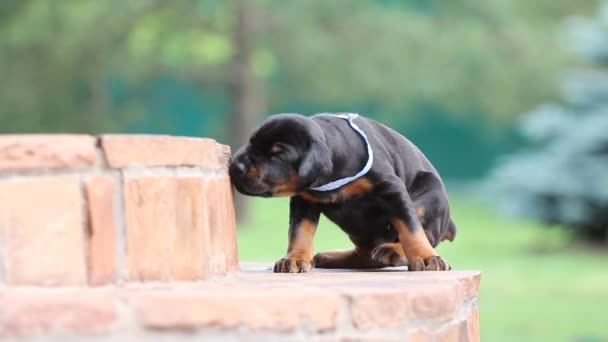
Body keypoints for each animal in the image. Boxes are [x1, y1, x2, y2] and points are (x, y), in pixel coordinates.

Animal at [229, 113, 456, 274]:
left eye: (277, 155)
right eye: (251, 141)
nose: (235, 165)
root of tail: (449, 224)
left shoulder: (391, 189)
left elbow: (410, 228)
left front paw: (425, 257)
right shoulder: (304, 201)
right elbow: (299, 232)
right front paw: (295, 258)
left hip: (430, 189)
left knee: (424, 233)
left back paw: (394, 250)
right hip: (360, 231)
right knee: (366, 254)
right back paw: (332, 257)